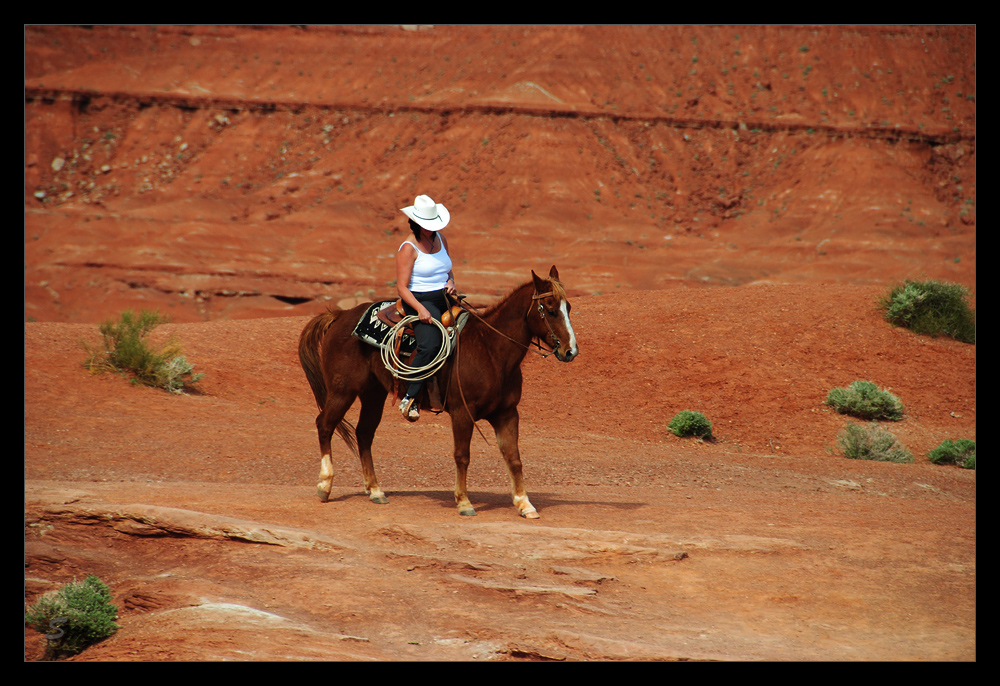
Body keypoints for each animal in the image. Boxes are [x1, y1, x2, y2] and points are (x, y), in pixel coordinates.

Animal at [296, 266, 580, 520]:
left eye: (568, 309)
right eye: (550, 310)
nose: (571, 351)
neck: (490, 351)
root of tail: (339, 315)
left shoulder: (507, 414)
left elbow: (514, 458)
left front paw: (524, 504)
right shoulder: (463, 413)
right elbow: (462, 456)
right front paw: (464, 502)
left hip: (373, 394)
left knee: (364, 433)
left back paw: (375, 490)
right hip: (342, 390)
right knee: (325, 425)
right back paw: (325, 485)